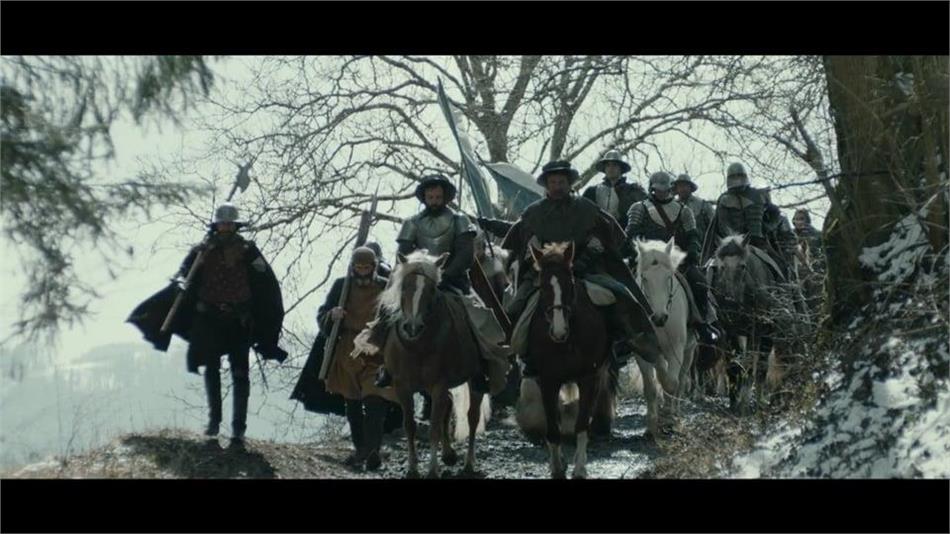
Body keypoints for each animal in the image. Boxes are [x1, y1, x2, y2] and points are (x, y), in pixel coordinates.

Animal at [358, 250, 491, 478]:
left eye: (430, 290)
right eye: (405, 287)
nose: (412, 327)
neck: (418, 346)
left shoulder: (438, 385)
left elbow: (434, 428)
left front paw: (432, 470)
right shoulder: (403, 386)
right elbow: (410, 425)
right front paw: (413, 468)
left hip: (475, 380)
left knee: (472, 417)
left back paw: (468, 464)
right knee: (448, 406)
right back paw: (449, 455)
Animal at [520, 242, 611, 479]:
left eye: (570, 284)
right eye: (542, 288)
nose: (559, 332)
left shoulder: (588, 378)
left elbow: (581, 424)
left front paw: (580, 468)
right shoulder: (547, 380)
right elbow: (553, 428)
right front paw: (556, 467)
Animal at [633, 238, 698, 437]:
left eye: (668, 277)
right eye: (644, 278)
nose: (659, 317)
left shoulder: (675, 348)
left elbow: (671, 383)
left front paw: (669, 418)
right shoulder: (642, 352)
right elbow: (651, 386)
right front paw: (651, 425)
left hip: (689, 351)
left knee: (681, 379)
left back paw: (675, 412)